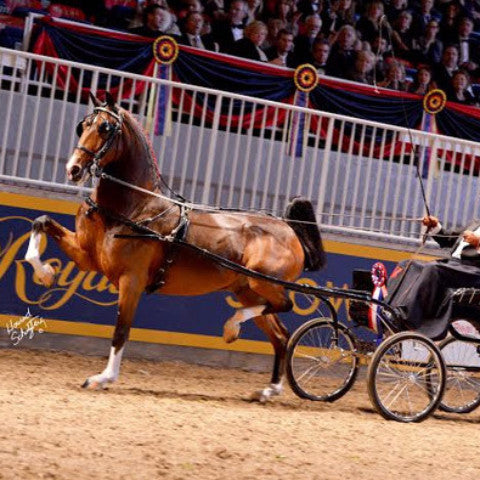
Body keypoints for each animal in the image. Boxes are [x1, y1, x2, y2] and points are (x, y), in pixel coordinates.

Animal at [26, 92, 326, 400]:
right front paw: (46, 273)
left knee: (285, 305)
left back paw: (232, 328)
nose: (73, 169)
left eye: (105, 128)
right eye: (83, 125)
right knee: (279, 334)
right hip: (248, 290)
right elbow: (40, 222)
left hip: (263, 283)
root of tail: (289, 228)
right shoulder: (87, 257)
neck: (132, 208)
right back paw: (268, 389)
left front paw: (103, 378)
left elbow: (121, 330)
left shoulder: (131, 281)